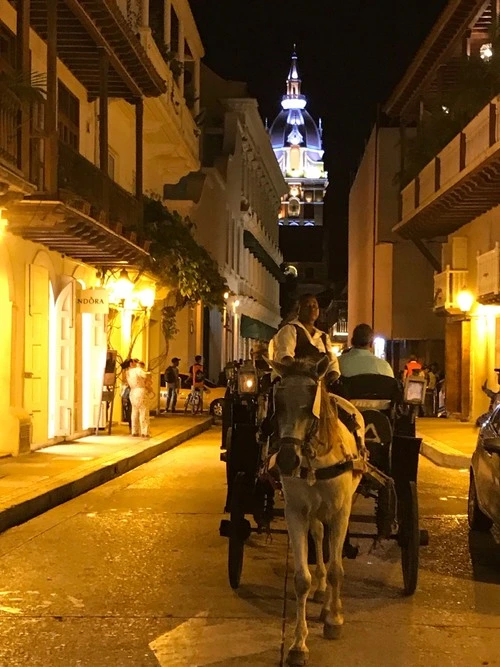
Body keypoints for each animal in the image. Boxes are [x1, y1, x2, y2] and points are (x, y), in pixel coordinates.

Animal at [272, 358, 366, 664]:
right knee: (318, 534)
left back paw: (329, 606)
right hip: (314, 512)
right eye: (278, 403)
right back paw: (322, 592)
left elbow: (337, 569)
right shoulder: (295, 512)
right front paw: (298, 644)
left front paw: (334, 619)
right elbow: (302, 579)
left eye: (308, 405)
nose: (287, 459)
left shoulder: (341, 511)